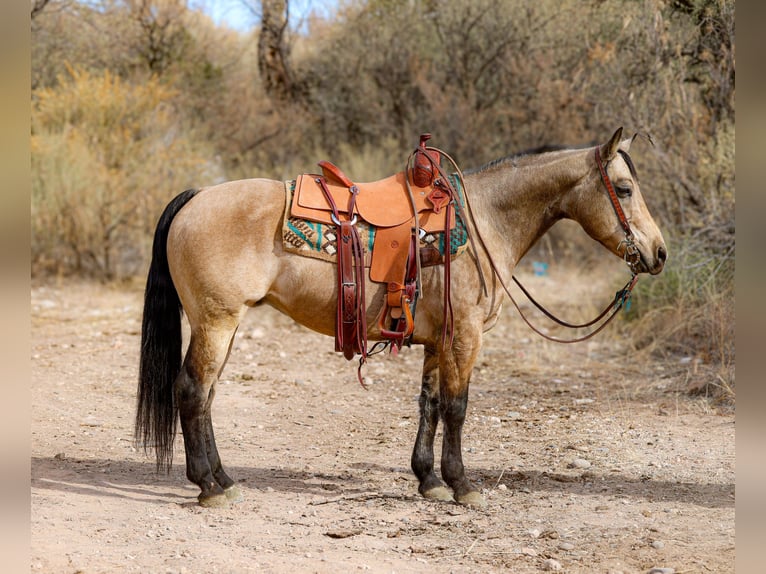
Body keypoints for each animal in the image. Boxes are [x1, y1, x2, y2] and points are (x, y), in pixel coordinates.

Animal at [136, 127, 664, 508]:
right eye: (623, 188)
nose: (658, 253)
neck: (484, 222)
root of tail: (196, 197)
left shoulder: (437, 341)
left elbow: (429, 405)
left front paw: (429, 479)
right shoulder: (465, 337)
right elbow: (457, 407)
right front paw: (462, 485)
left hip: (223, 327)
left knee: (206, 396)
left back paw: (224, 478)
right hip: (216, 323)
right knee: (192, 391)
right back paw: (208, 487)